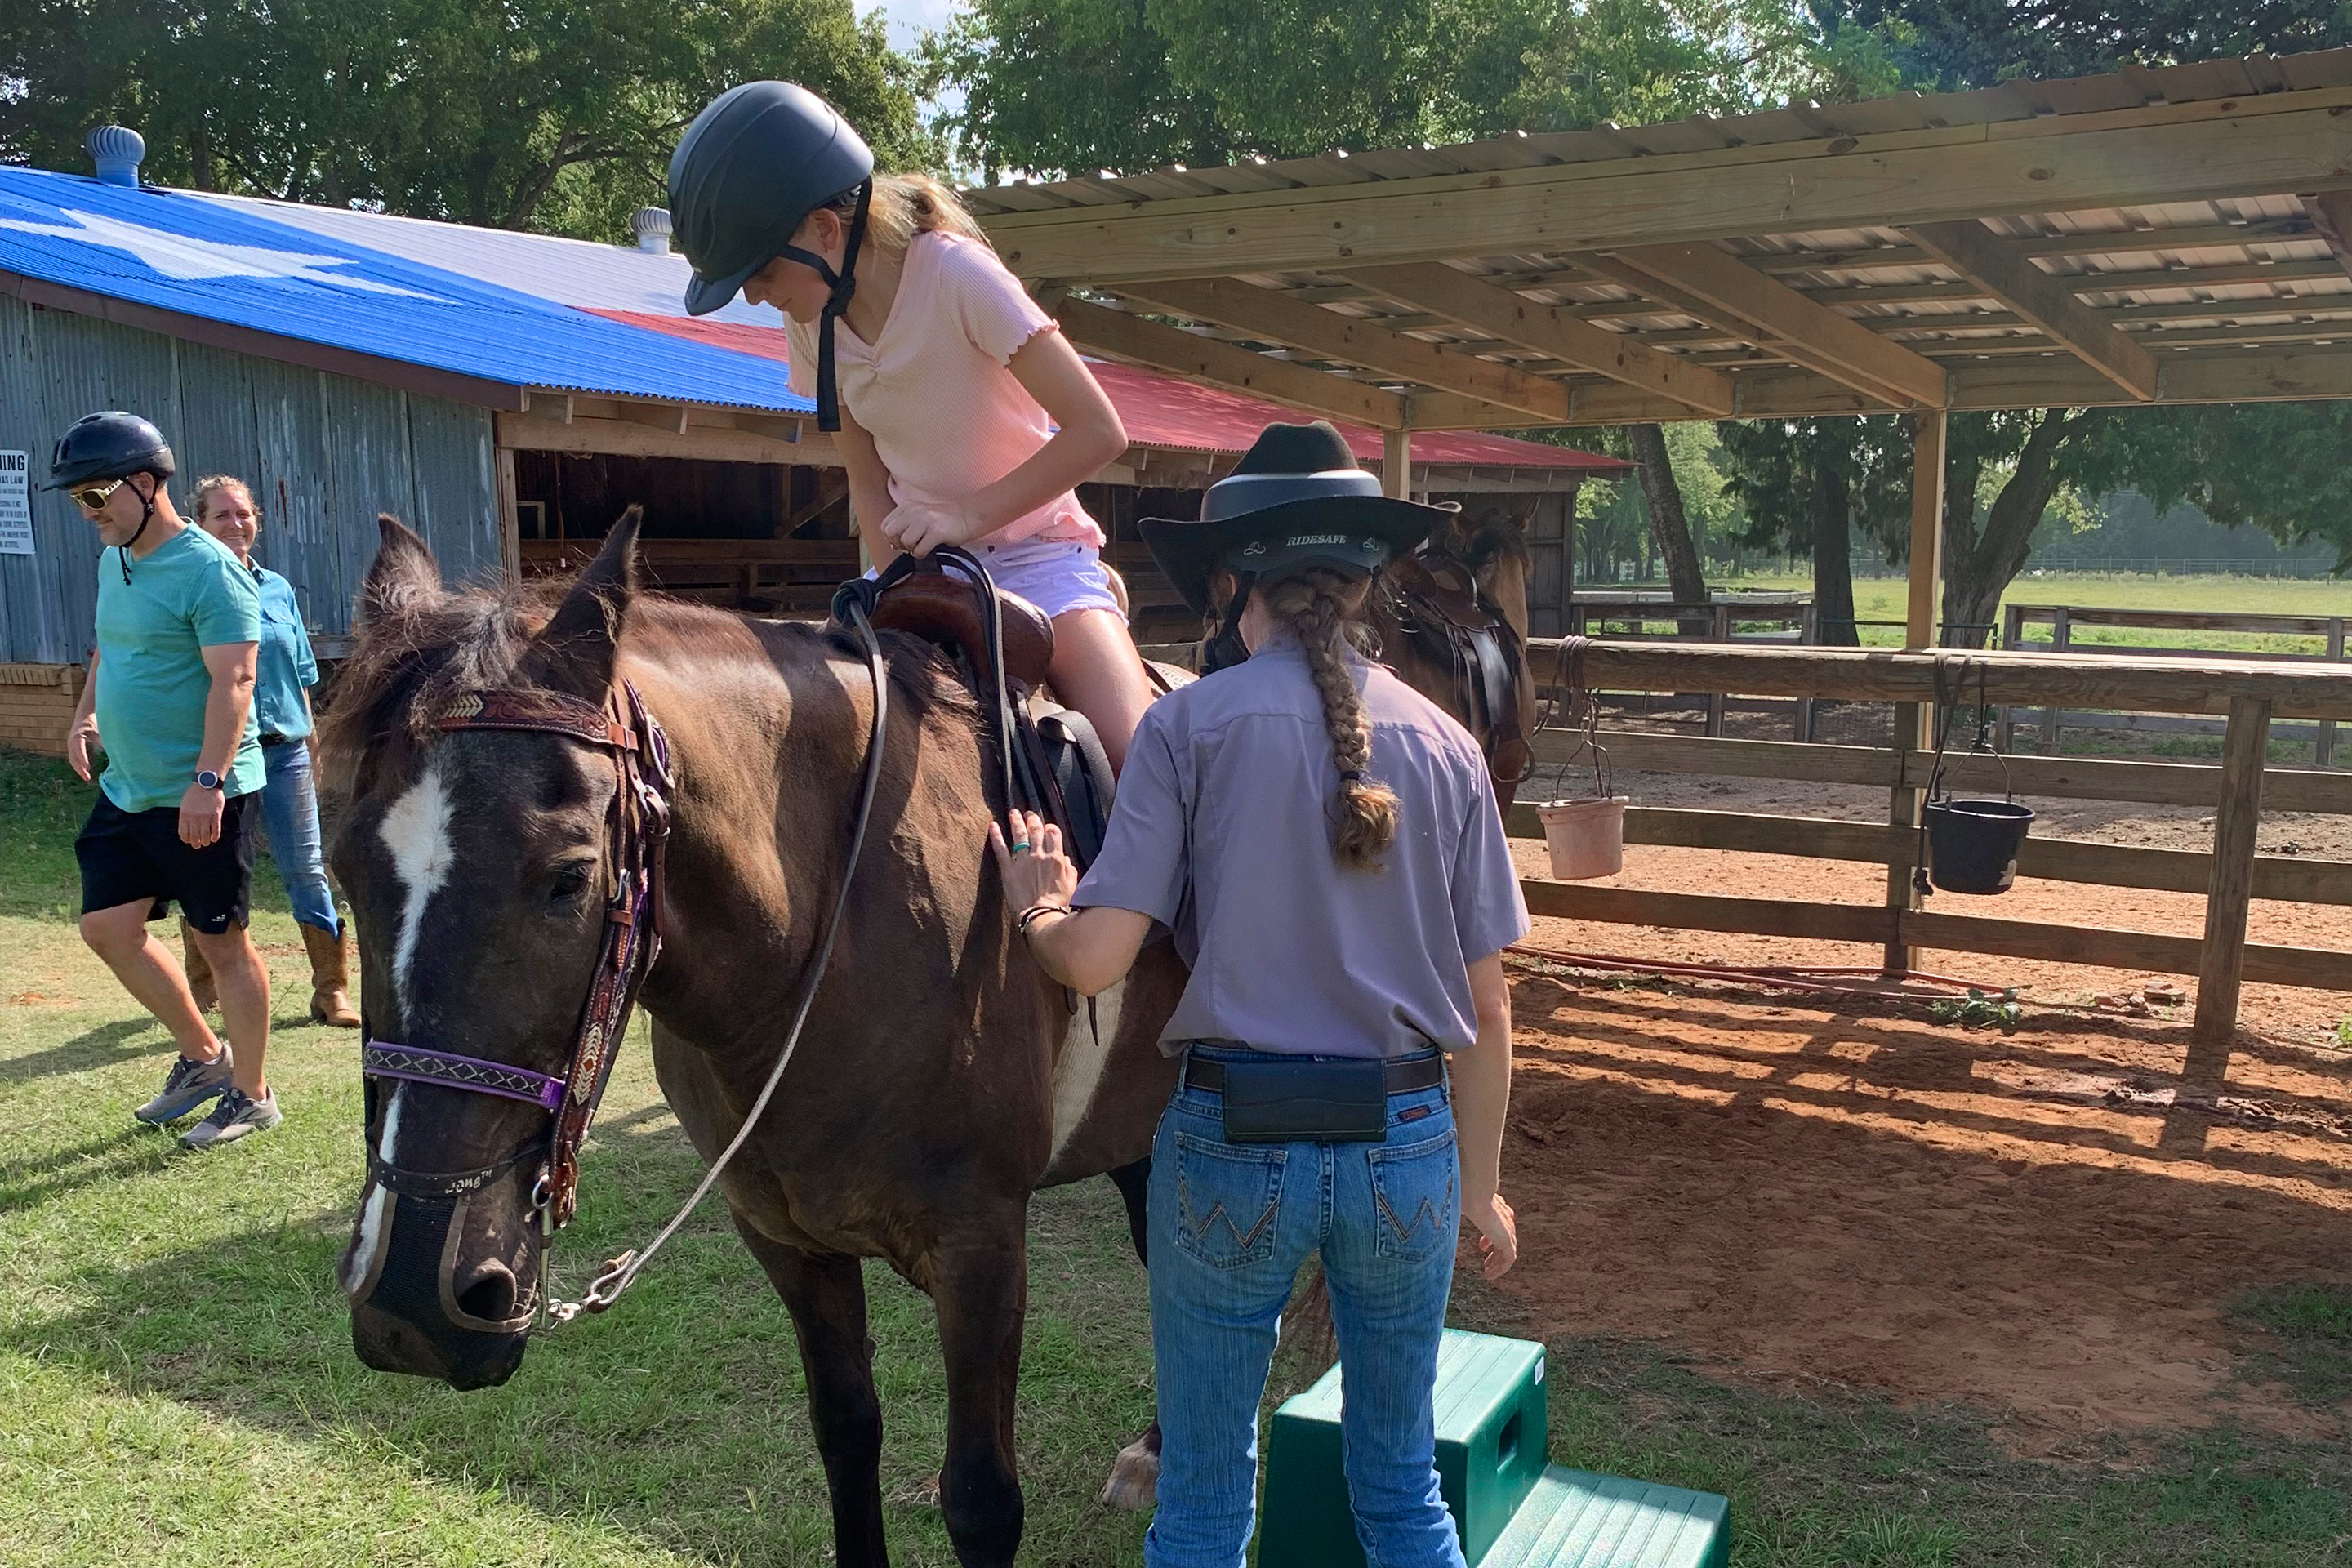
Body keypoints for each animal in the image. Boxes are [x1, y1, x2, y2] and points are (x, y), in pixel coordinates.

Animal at [323, 513, 1186, 1567]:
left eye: (569, 878)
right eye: (346, 866)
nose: (410, 1301)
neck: (836, 928)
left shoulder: (982, 1245)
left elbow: (983, 1500)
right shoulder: (784, 1241)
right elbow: (846, 1434)